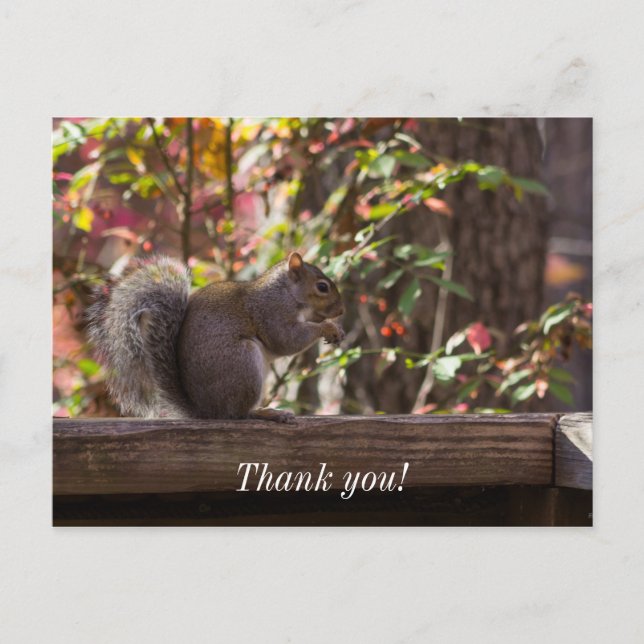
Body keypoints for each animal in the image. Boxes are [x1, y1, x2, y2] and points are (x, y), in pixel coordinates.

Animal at [86, 252, 345, 422]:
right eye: (322, 287)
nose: (341, 311)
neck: (286, 292)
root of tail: (206, 410)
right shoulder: (272, 312)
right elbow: (286, 340)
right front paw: (327, 327)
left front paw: (335, 328)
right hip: (243, 363)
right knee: (237, 414)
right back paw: (265, 412)